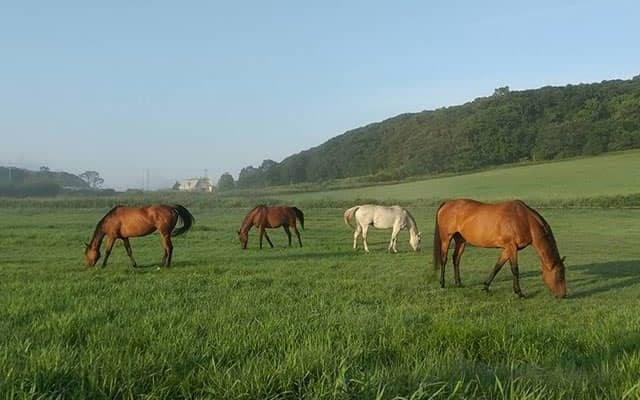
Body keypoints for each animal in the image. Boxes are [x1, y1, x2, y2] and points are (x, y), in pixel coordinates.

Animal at [433, 199, 566, 298]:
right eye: (560, 275)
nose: (563, 295)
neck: (524, 220)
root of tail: (447, 203)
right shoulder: (512, 247)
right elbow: (515, 270)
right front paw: (519, 293)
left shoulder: (508, 248)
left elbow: (497, 266)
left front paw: (485, 287)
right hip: (446, 239)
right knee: (444, 259)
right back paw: (442, 283)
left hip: (461, 241)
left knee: (456, 259)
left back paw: (458, 283)